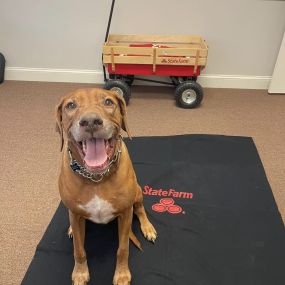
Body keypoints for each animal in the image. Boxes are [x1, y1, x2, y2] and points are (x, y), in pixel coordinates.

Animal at [55, 87, 158, 282]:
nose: (90, 121)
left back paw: (147, 227)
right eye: (70, 105)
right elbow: (79, 250)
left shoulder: (125, 214)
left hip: (138, 192)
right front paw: (80, 273)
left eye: (108, 102)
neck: (96, 177)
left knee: (140, 209)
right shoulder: (75, 214)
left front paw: (122, 274)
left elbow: (123, 249)